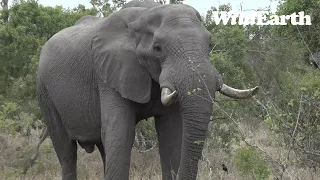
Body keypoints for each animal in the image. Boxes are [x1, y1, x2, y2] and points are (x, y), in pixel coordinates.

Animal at [35, 0, 258, 179]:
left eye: (210, 44)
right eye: (157, 48)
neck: (145, 14)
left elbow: (171, 134)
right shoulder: (109, 73)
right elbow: (121, 134)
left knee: (104, 149)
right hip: (45, 93)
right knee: (66, 152)